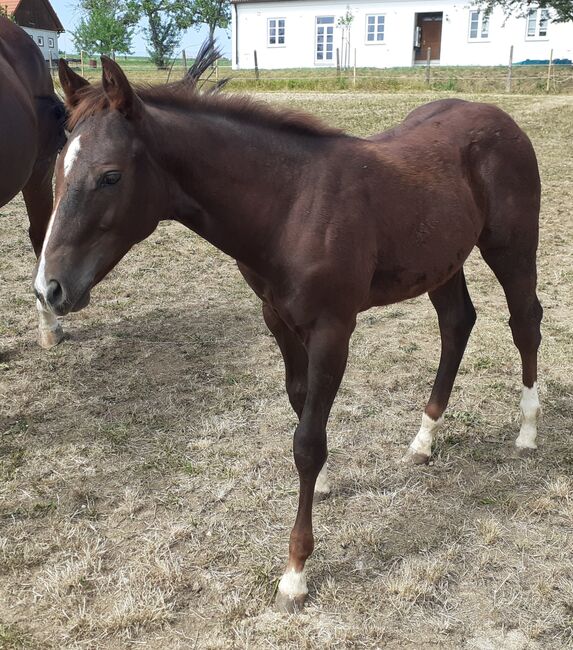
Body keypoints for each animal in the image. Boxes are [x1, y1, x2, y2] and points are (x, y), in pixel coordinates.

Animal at [33, 49, 544, 608]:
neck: (290, 205)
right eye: (57, 167)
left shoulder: (333, 329)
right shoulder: (276, 318)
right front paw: (325, 484)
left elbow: (307, 442)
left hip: (512, 246)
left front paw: (295, 571)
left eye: (110, 176)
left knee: (525, 323)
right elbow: (303, 408)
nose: (49, 288)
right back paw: (424, 441)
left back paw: (527, 431)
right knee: (456, 325)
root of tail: (501, 118)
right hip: (443, 261)